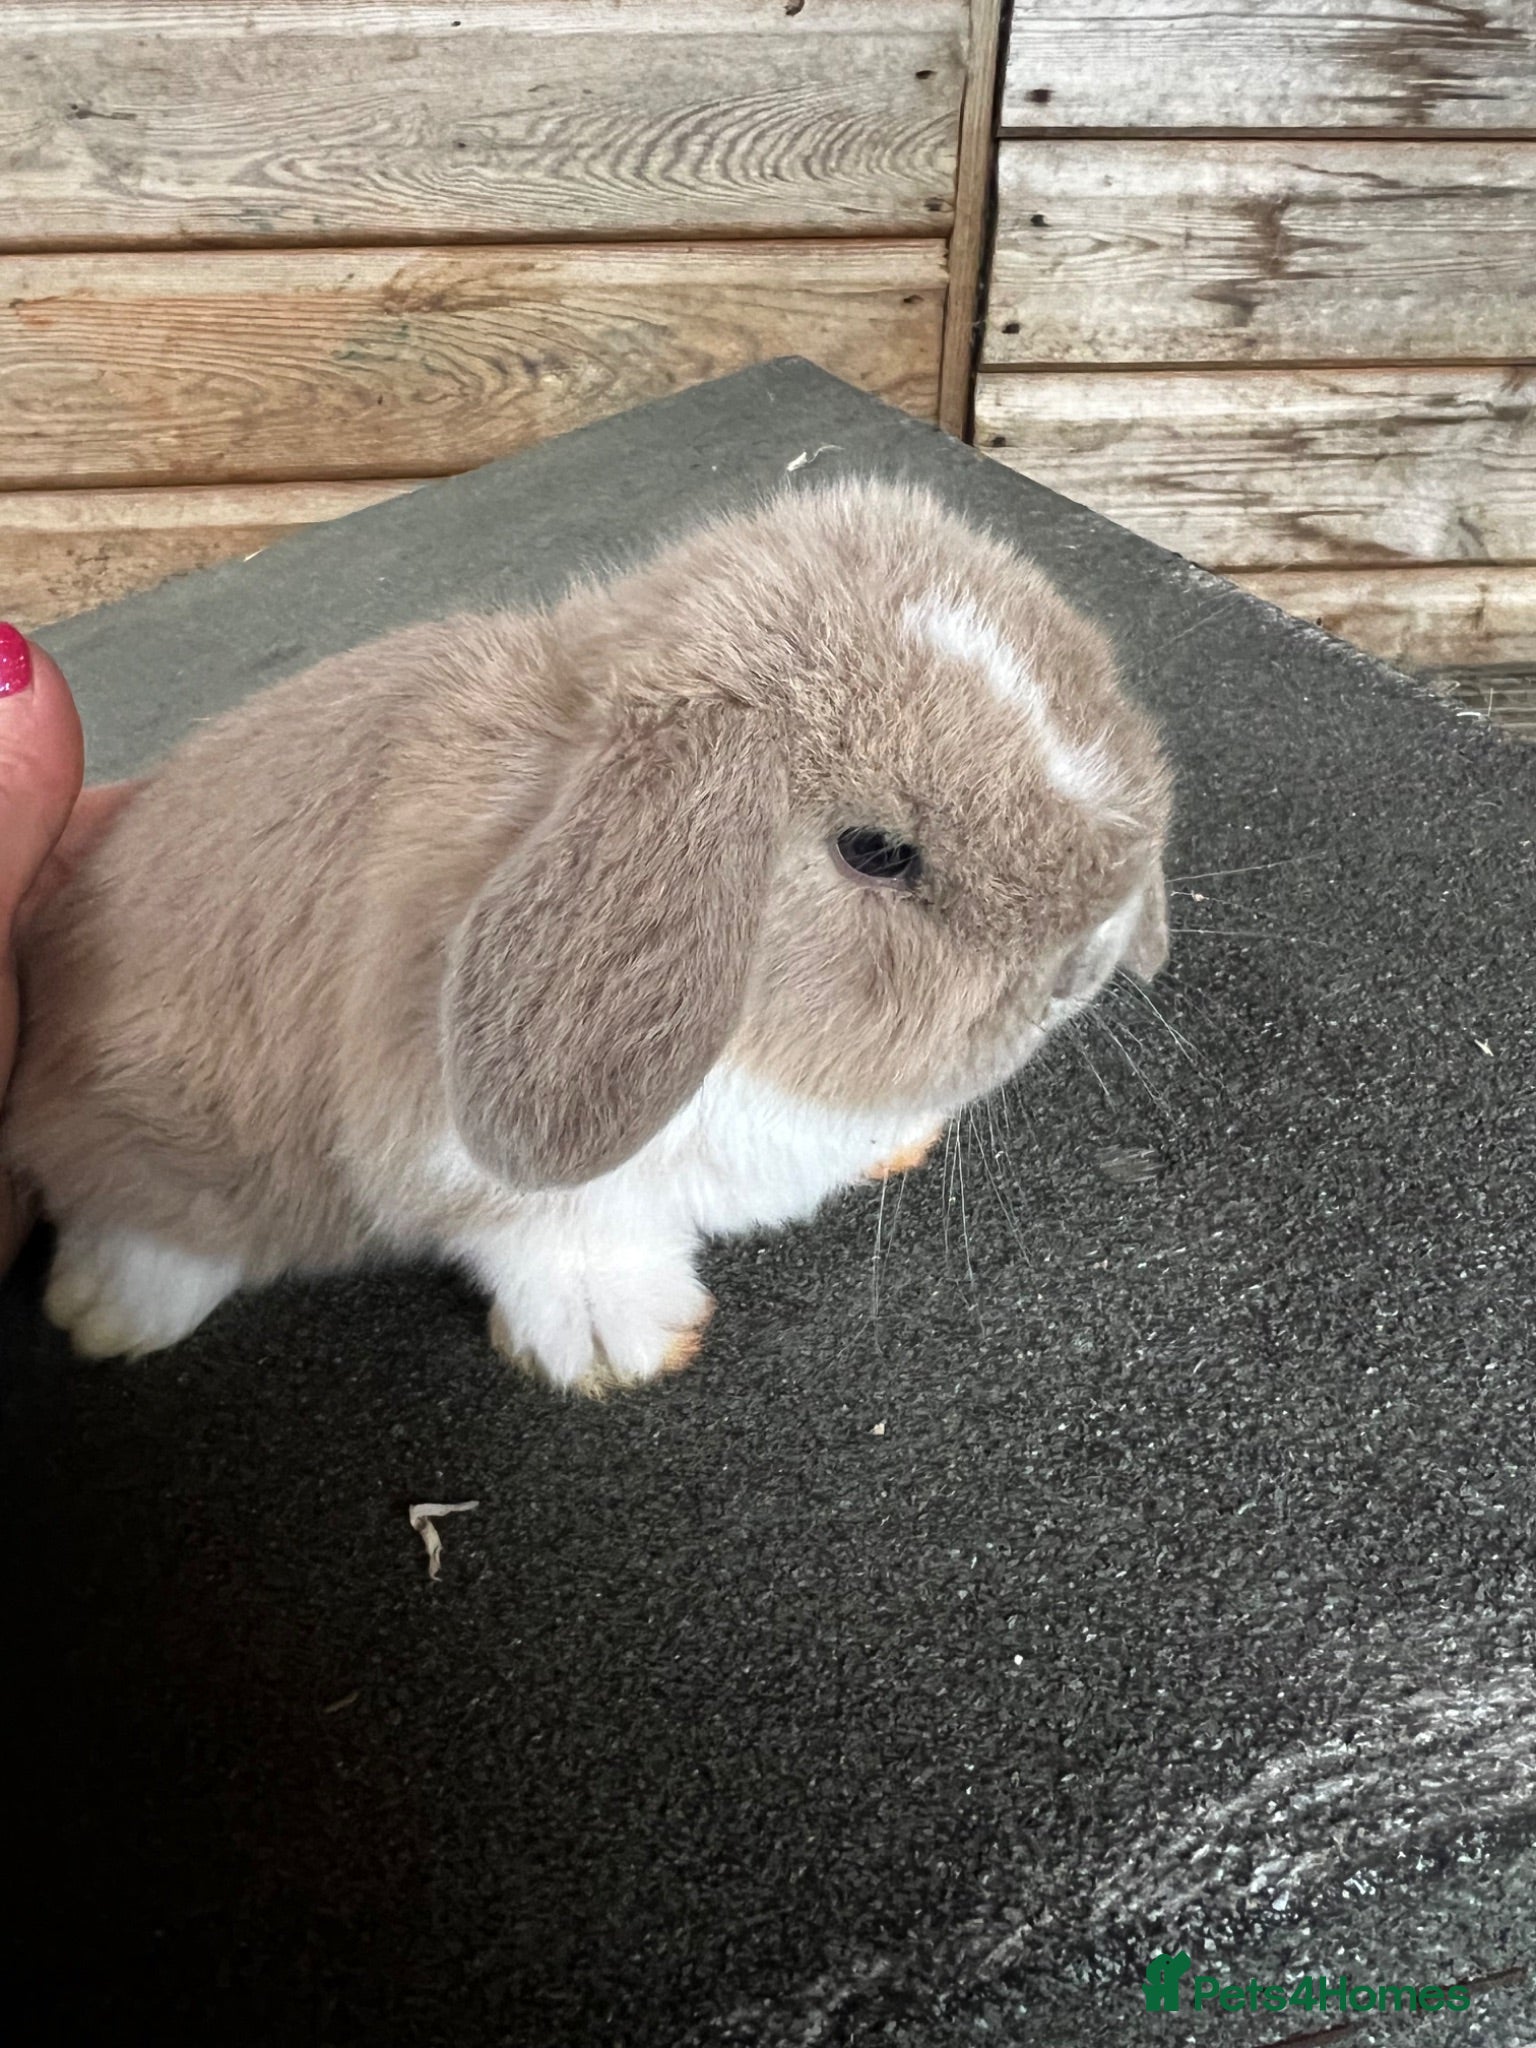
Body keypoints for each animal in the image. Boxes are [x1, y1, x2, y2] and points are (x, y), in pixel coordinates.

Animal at [3, 478, 1172, 1394]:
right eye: (875, 850)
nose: (1085, 965)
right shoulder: (467, 1159)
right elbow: (556, 1241)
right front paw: (624, 1343)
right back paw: (111, 1312)